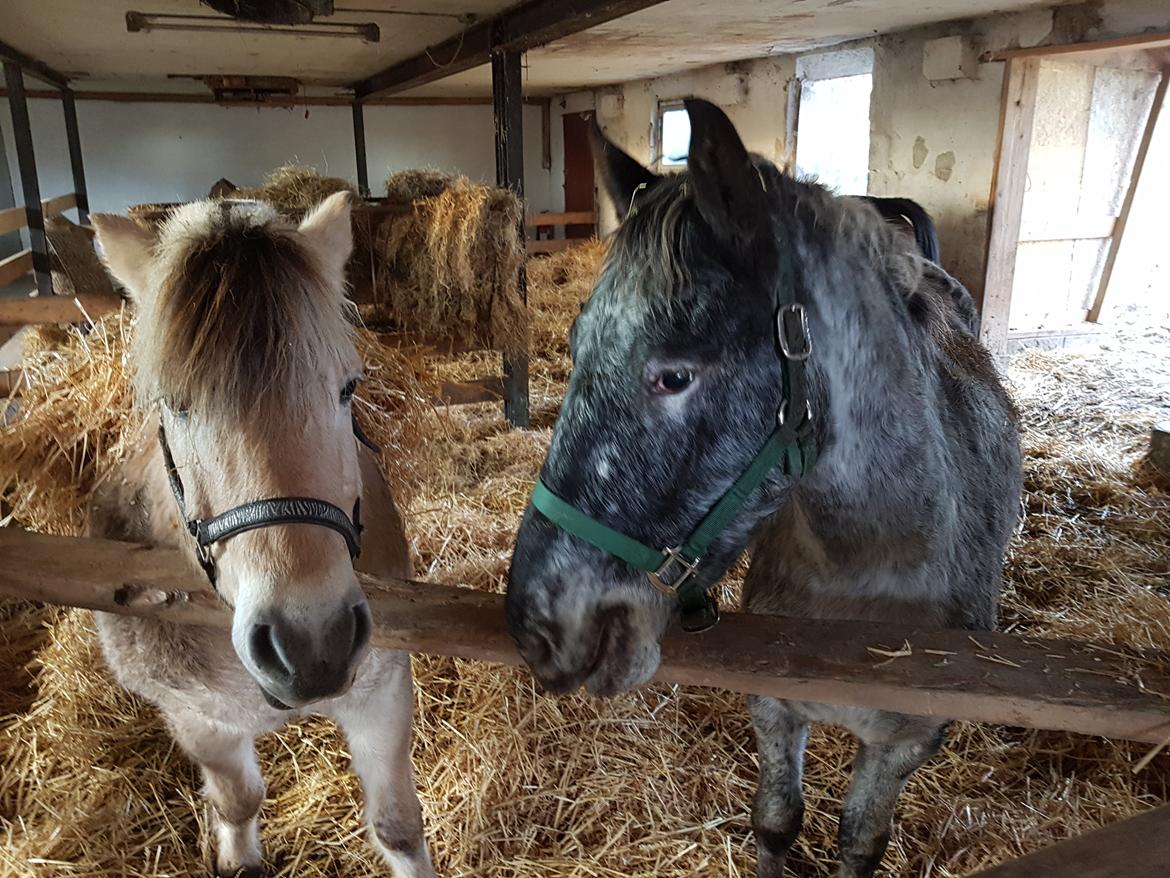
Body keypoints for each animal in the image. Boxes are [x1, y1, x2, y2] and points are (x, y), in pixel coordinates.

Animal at [87, 197, 435, 878]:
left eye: (347, 388)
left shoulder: (382, 695)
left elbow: (398, 826)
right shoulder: (194, 717)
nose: (312, 645)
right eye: (177, 405)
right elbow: (239, 800)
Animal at [507, 99, 1020, 875]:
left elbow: (859, 843)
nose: (537, 627)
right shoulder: (774, 711)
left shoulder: (903, 748)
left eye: (674, 375)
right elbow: (777, 823)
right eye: (573, 347)